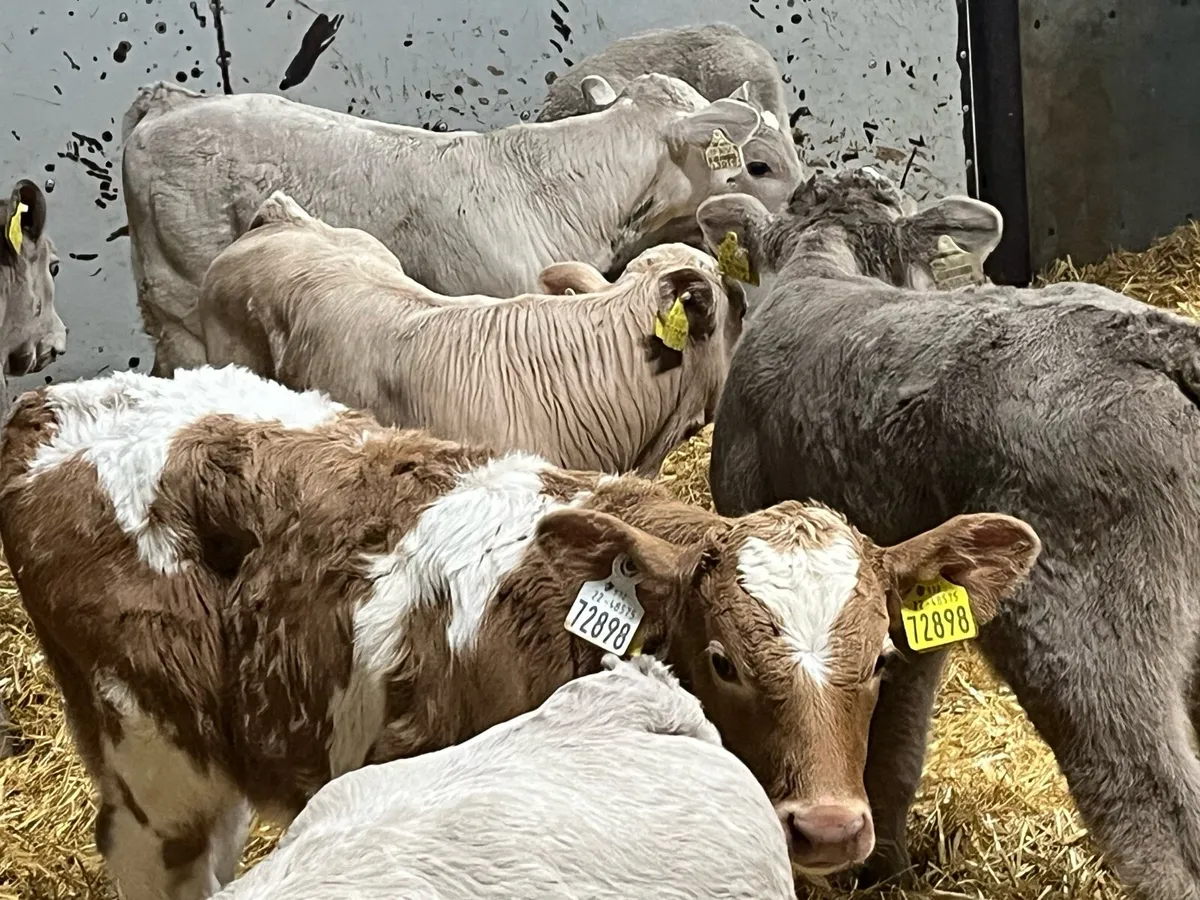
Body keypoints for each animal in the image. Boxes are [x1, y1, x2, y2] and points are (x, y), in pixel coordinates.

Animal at [697, 167, 1200, 900]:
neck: (822, 265)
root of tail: (1149, 331)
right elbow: (895, 745)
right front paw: (885, 868)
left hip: (1087, 622)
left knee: (1153, 803)